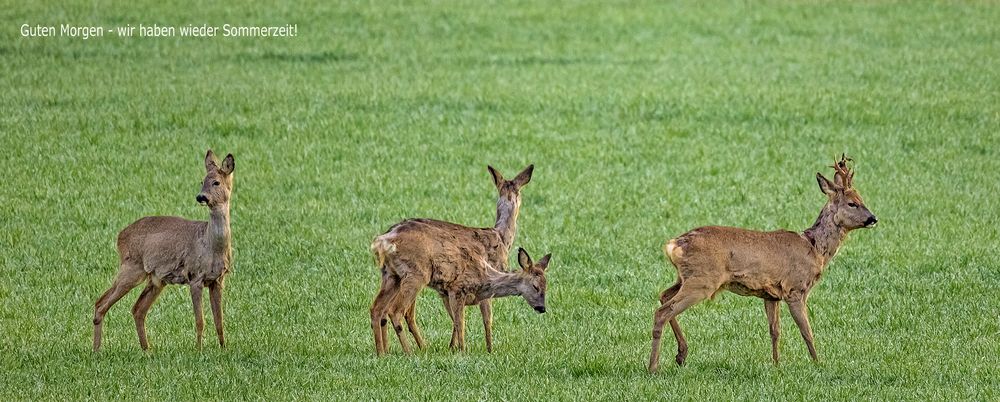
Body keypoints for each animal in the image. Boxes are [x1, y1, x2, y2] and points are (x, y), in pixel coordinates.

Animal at [92, 150, 236, 352]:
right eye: (202, 181)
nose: (201, 197)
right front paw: (198, 350)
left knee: (137, 309)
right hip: (132, 267)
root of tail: (120, 236)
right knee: (101, 303)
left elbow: (219, 321)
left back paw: (147, 350)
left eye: (216, 182)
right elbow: (200, 320)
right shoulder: (195, 277)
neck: (210, 246)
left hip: (156, 279)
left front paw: (224, 348)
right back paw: (97, 350)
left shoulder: (217, 279)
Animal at [648, 155, 876, 372]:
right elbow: (807, 331)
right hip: (703, 280)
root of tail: (674, 245)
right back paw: (653, 367)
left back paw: (681, 354)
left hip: (685, 277)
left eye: (862, 199)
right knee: (663, 311)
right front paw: (817, 363)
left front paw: (776, 364)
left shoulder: (771, 295)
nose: (873, 218)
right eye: (852, 203)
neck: (814, 248)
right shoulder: (796, 289)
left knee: (663, 295)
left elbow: (775, 331)